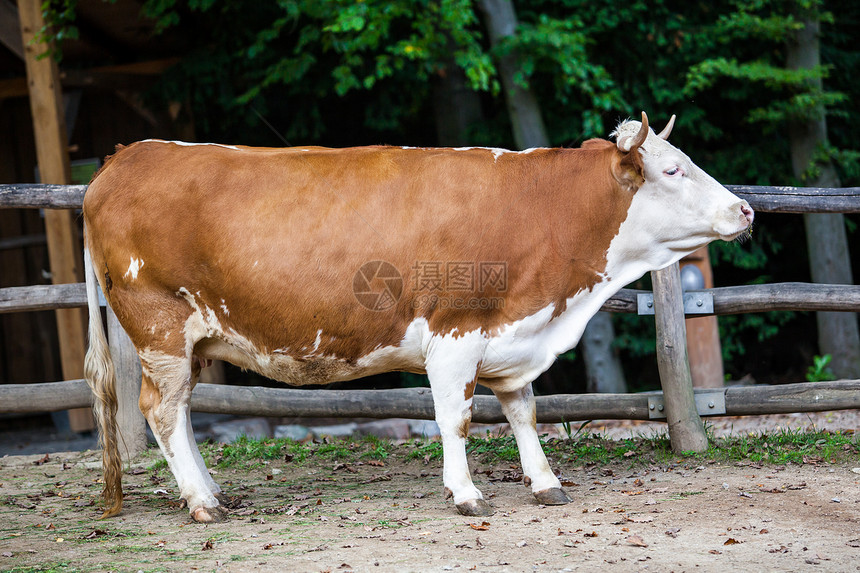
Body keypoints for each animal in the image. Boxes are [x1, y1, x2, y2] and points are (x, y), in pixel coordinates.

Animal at [82, 113, 752, 524]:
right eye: (673, 169)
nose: (745, 209)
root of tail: (126, 155)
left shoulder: (513, 336)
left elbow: (523, 412)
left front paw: (544, 482)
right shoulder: (455, 335)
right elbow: (455, 419)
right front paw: (466, 493)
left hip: (192, 342)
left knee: (182, 413)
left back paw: (209, 489)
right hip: (160, 328)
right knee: (162, 410)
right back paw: (202, 503)